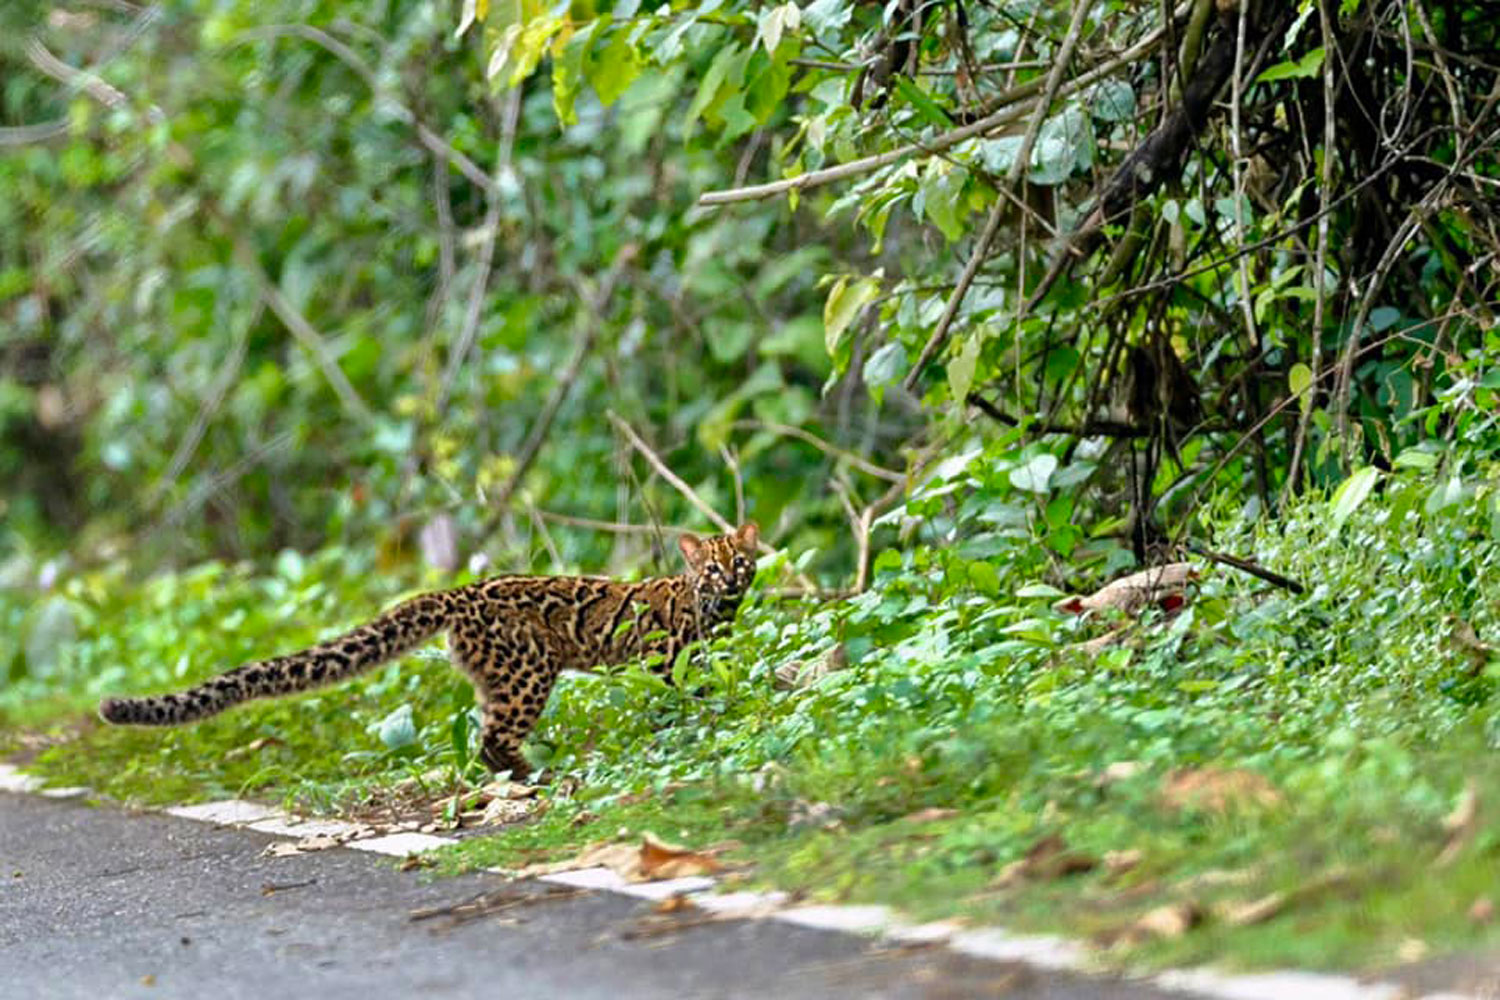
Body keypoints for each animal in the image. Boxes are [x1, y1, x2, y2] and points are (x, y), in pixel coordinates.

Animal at [98, 524, 756, 779]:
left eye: (742, 563)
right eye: (712, 568)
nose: (730, 579)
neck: (712, 606)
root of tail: (457, 591)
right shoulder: (664, 658)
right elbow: (674, 695)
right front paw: (685, 723)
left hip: (501, 677)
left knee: (484, 735)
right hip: (528, 672)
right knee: (494, 738)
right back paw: (534, 773)